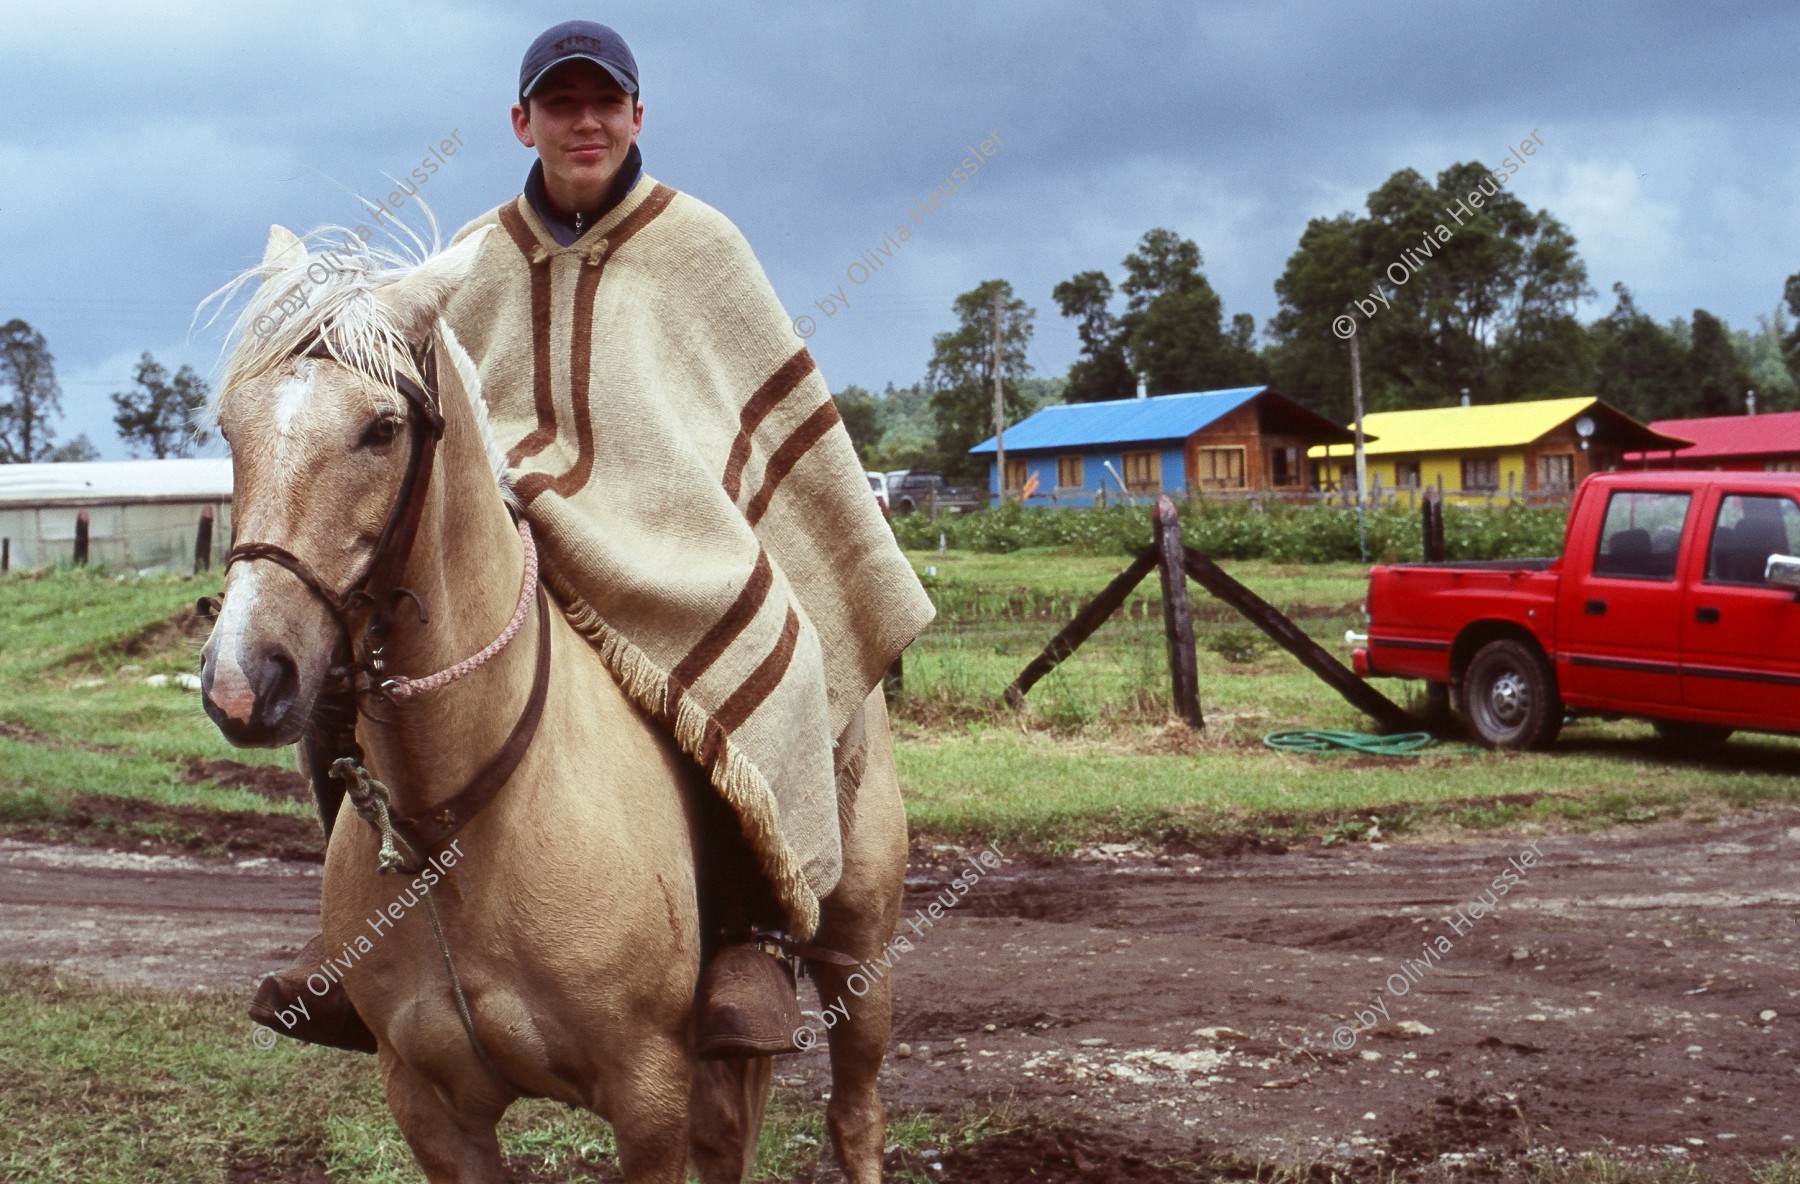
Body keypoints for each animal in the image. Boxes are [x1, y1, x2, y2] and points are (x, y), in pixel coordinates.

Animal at [198, 224, 907, 1180]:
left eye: (381, 430)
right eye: (230, 429)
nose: (244, 682)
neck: (452, 824)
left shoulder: (648, 1098)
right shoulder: (430, 1108)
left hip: (860, 951)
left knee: (855, 1116)